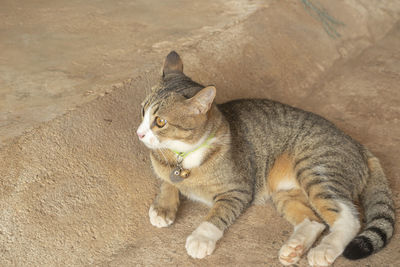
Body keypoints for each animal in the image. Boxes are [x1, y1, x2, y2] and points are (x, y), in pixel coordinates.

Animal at [137, 51, 394, 266]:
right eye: (143, 111)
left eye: (160, 122)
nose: (139, 133)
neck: (183, 155)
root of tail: (358, 145)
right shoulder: (167, 169)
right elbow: (167, 182)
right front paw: (163, 207)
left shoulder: (238, 191)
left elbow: (218, 213)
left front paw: (201, 237)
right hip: (285, 192)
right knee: (314, 221)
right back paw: (294, 248)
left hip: (315, 170)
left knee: (349, 218)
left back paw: (324, 250)